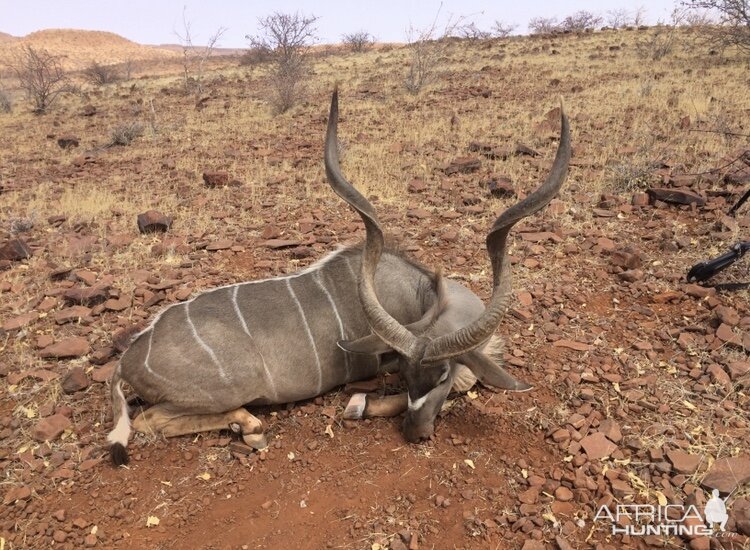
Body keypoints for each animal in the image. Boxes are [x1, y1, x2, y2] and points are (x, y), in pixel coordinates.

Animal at [108, 89, 572, 466]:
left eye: (434, 375)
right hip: (226, 389)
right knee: (149, 419)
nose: (416, 434)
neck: (427, 294)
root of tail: (128, 358)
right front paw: (360, 405)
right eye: (407, 375)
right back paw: (249, 426)